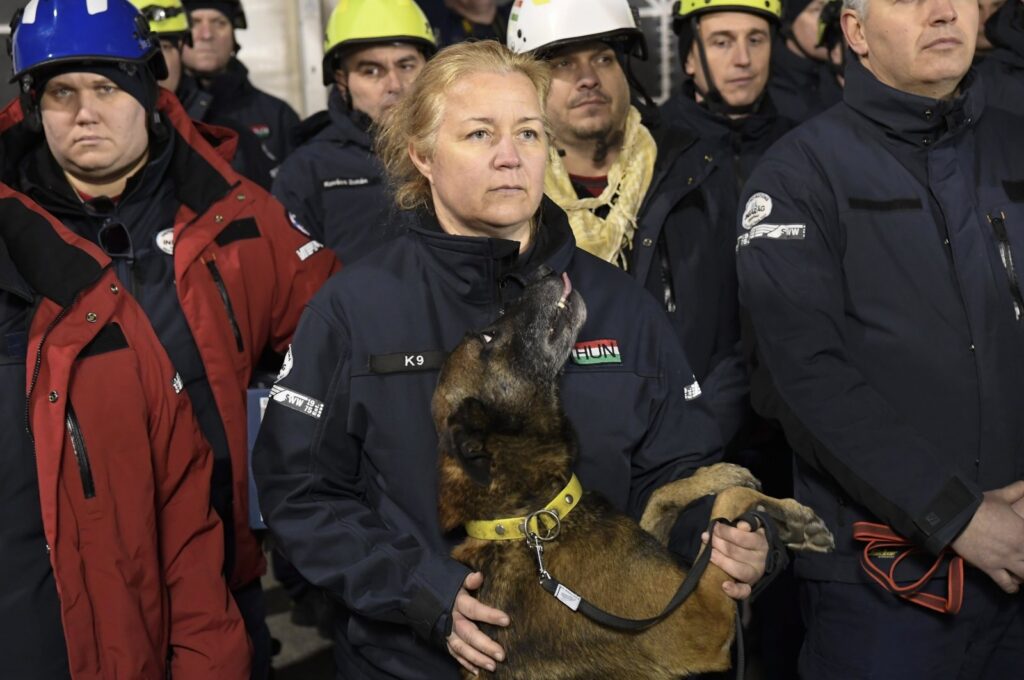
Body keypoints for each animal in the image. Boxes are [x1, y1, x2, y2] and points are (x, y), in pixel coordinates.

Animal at [432, 274, 831, 675]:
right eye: (487, 338)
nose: (545, 274)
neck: (531, 517)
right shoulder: (700, 620)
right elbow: (725, 509)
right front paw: (794, 519)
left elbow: (662, 495)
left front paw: (717, 475)